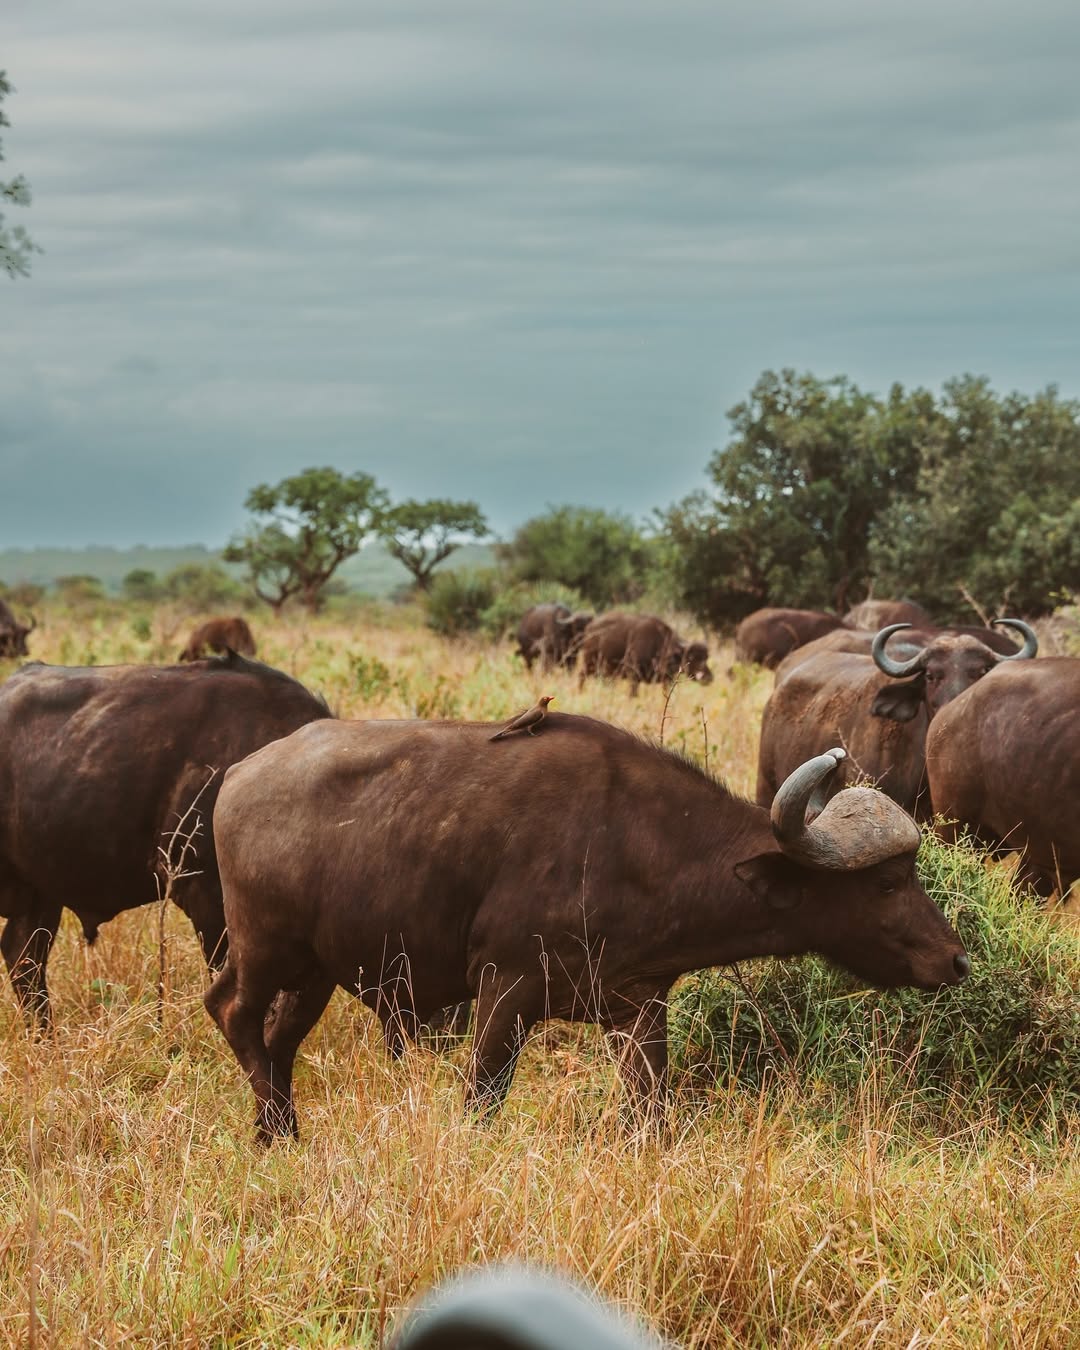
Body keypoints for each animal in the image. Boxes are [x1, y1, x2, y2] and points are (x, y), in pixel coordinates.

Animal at [205, 720, 968, 1141]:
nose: (956, 961)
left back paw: (276, 1130)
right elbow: (482, 1101)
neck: (635, 843)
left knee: (277, 1039)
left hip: (313, 971)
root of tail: (240, 775)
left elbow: (650, 1114)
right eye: (887, 883)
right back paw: (277, 1130)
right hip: (265, 948)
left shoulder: (638, 1006)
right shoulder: (505, 989)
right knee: (232, 1011)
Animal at [578, 612, 712, 695]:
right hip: (589, 663)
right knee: (581, 676)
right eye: (691, 657)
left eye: (706, 657)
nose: (708, 677)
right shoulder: (633, 676)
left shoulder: (667, 680)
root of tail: (590, 627)